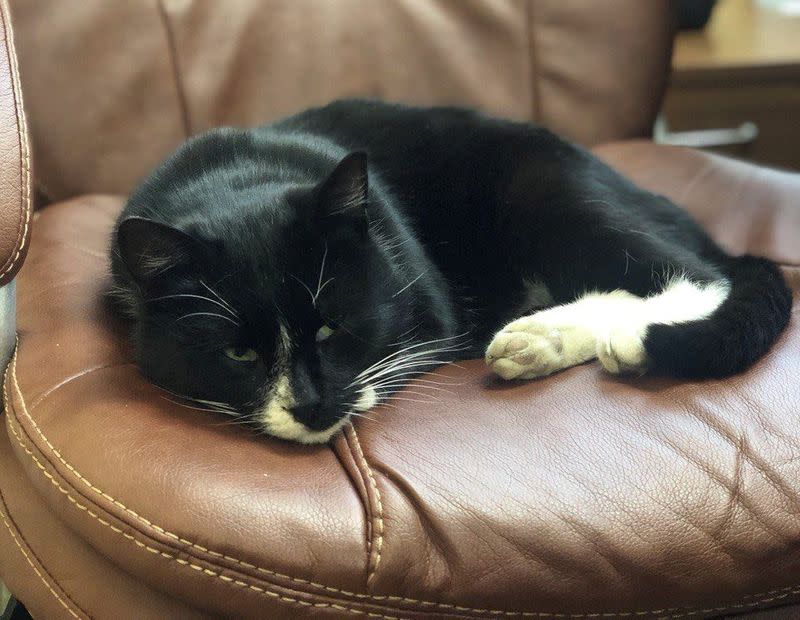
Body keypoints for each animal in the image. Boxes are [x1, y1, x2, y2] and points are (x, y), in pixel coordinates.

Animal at [108, 99, 792, 444]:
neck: (232, 180)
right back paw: (536, 342)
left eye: (332, 328)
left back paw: (602, 340)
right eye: (239, 354)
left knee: (693, 274)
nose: (312, 405)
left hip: (543, 187)